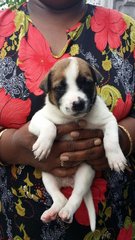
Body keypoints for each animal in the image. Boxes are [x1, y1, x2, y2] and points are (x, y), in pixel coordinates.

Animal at [28, 57, 126, 232]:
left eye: (86, 83)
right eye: (60, 87)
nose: (78, 104)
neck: (71, 119)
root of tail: (68, 182)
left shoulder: (108, 120)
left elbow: (111, 139)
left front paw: (116, 158)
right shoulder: (36, 120)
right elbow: (49, 126)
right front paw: (43, 145)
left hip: (85, 173)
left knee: (76, 196)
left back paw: (66, 212)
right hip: (48, 175)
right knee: (60, 198)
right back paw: (52, 213)